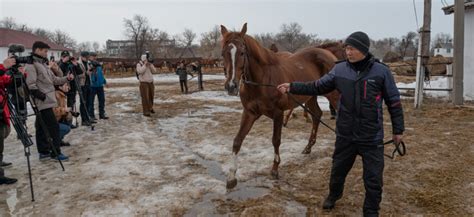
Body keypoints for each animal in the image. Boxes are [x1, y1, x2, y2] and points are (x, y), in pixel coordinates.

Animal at [222, 22, 340, 188]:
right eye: (223, 54)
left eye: (242, 53)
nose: (231, 86)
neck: (262, 80)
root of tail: (329, 54)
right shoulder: (249, 113)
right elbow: (237, 141)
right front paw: (232, 177)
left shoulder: (278, 113)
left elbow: (275, 140)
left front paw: (275, 169)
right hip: (310, 95)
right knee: (317, 114)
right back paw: (308, 147)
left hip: (333, 94)